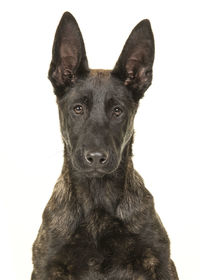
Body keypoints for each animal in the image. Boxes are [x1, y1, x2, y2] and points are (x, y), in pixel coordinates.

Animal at [31, 12, 180, 278]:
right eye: (78, 108)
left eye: (118, 111)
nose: (96, 158)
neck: (97, 202)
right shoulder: (45, 265)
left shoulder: (162, 262)